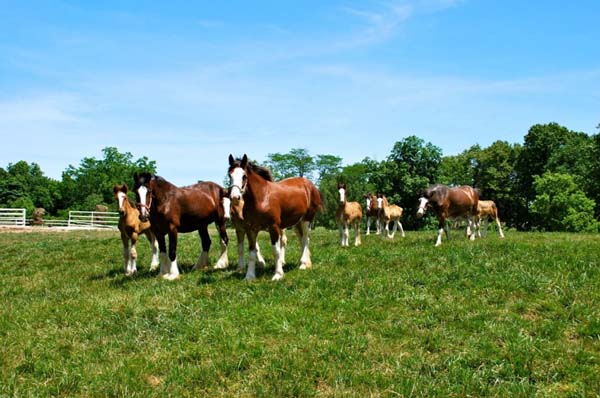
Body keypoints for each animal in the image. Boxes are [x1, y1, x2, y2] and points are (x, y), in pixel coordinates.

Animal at [226, 154, 322, 282]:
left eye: (244, 176)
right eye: (229, 175)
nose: (234, 197)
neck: (262, 198)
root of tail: (310, 185)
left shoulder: (274, 228)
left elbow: (276, 251)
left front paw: (278, 274)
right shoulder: (251, 230)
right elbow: (252, 252)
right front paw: (249, 276)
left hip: (307, 219)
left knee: (306, 239)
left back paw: (303, 264)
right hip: (296, 222)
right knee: (302, 239)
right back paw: (305, 263)